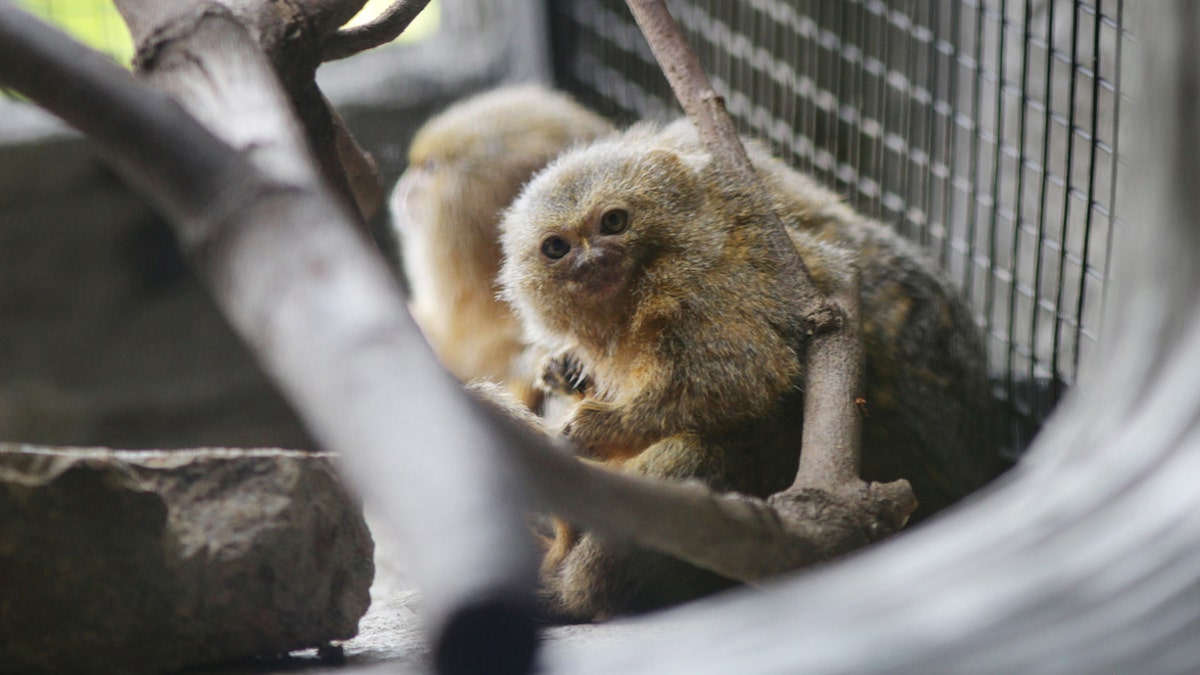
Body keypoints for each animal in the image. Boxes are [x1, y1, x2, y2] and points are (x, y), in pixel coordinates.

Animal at [501, 121, 998, 619]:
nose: (591, 262)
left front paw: (596, 426)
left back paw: (580, 588)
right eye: (557, 247)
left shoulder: (712, 280)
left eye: (613, 223)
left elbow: (746, 373)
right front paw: (566, 366)